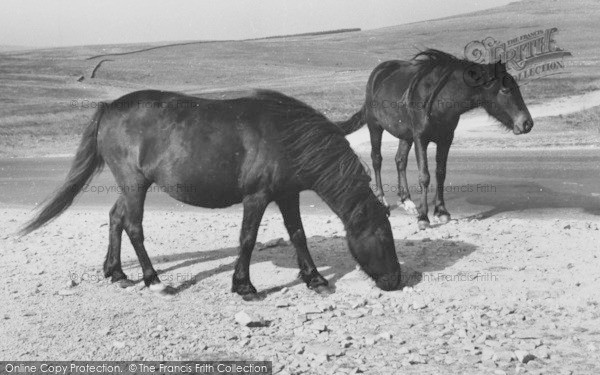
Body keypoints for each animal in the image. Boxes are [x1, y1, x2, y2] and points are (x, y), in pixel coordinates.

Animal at [19, 89, 404, 298]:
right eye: (383, 236)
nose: (396, 281)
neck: (286, 135)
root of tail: (109, 108)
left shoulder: (287, 194)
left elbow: (298, 235)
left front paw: (315, 279)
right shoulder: (257, 197)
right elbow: (248, 238)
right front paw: (244, 286)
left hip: (131, 185)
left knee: (115, 217)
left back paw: (116, 272)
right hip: (134, 183)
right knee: (133, 226)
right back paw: (154, 280)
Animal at [338, 49, 536, 232]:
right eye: (505, 89)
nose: (527, 123)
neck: (438, 101)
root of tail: (377, 74)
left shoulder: (445, 139)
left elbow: (440, 173)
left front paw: (441, 212)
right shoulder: (421, 139)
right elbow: (424, 176)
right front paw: (423, 217)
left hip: (405, 136)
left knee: (400, 161)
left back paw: (407, 201)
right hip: (375, 127)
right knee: (377, 159)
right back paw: (383, 200)